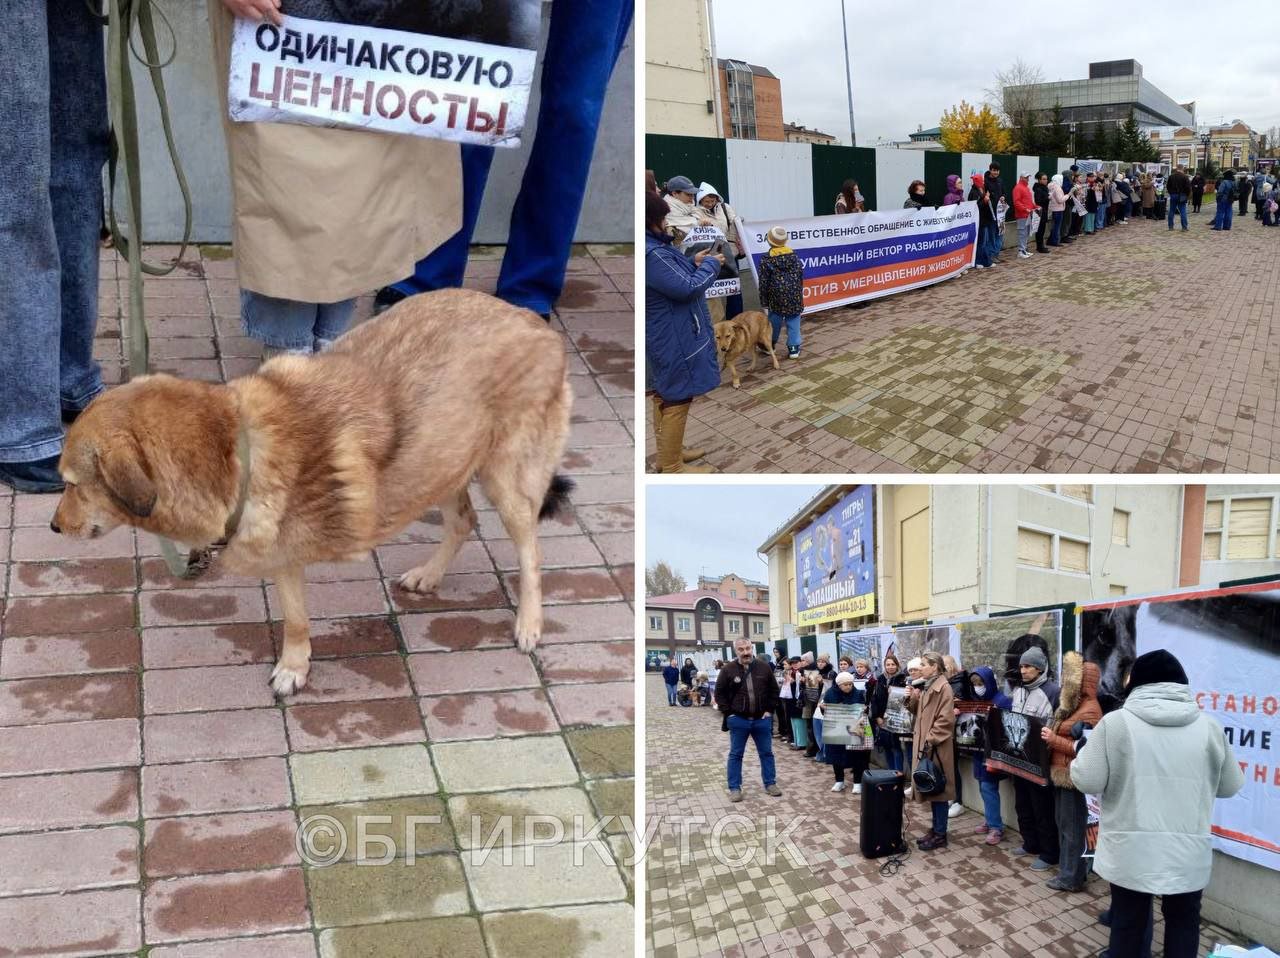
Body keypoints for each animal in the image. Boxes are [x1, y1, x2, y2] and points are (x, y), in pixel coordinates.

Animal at [49, 288, 570, 691]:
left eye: (71, 485)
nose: (53, 527)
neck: (240, 454)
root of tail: (530, 319)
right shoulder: (282, 556)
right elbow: (296, 619)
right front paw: (295, 666)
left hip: (503, 480)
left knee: (531, 552)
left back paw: (529, 621)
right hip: (440, 459)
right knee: (463, 520)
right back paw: (430, 575)